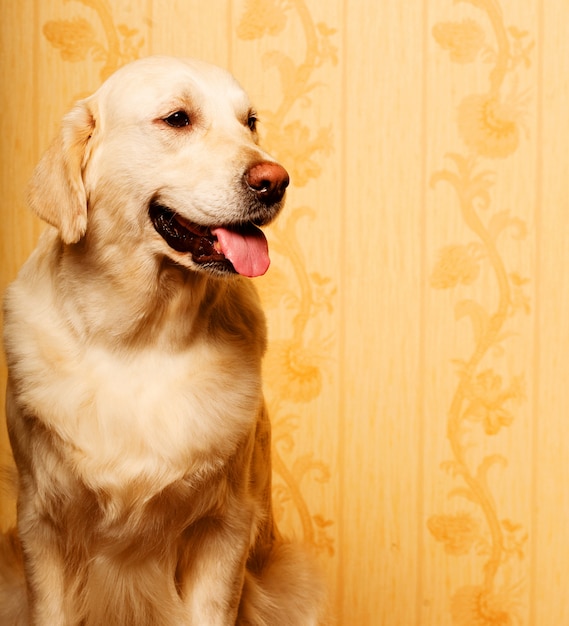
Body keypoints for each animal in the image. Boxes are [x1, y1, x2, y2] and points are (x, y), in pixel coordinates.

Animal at [0, 56, 326, 620]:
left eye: (250, 122)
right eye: (177, 119)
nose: (276, 181)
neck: (140, 338)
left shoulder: (226, 527)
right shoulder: (39, 524)